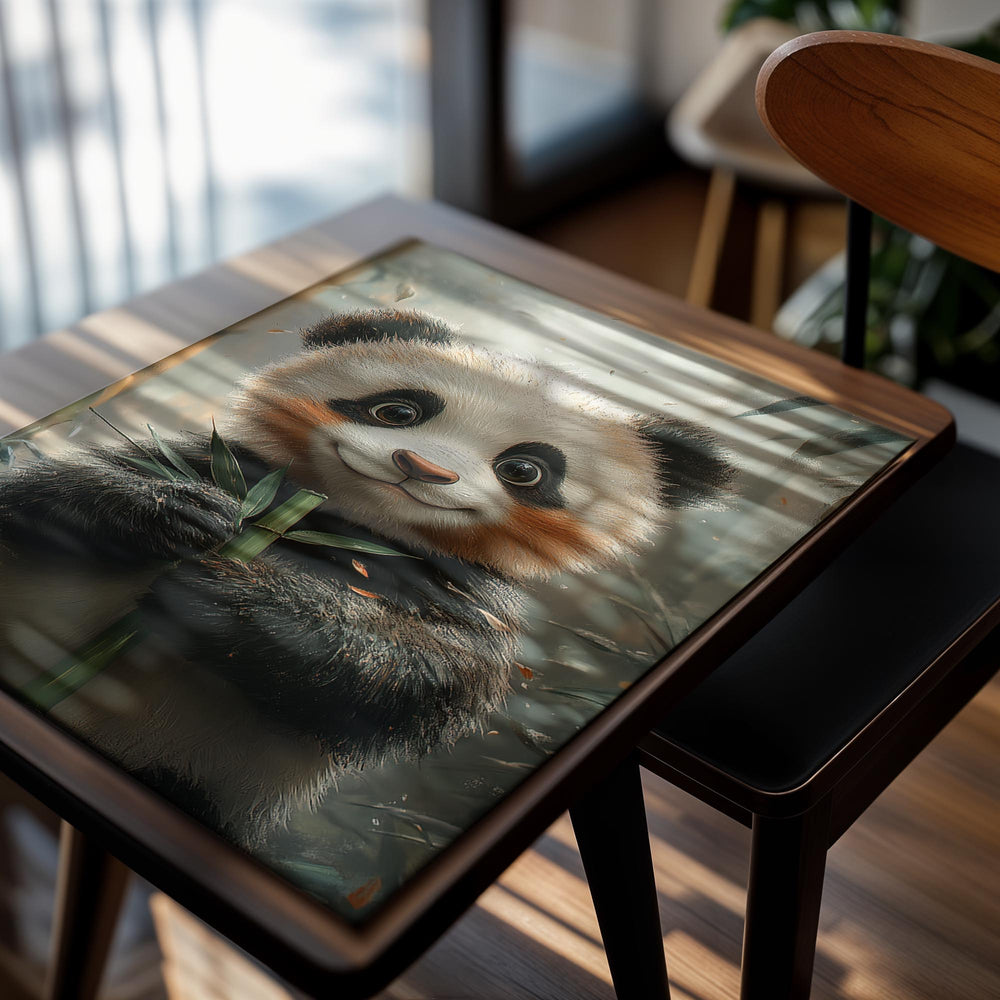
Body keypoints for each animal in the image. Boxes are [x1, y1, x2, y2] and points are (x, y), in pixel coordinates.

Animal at [0, 310, 733, 847]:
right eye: (398, 410)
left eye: (526, 470)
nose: (422, 468)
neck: (337, 521)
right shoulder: (218, 466)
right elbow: (33, 493)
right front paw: (171, 514)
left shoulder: (466, 595)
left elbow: (414, 675)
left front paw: (225, 595)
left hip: (196, 776)